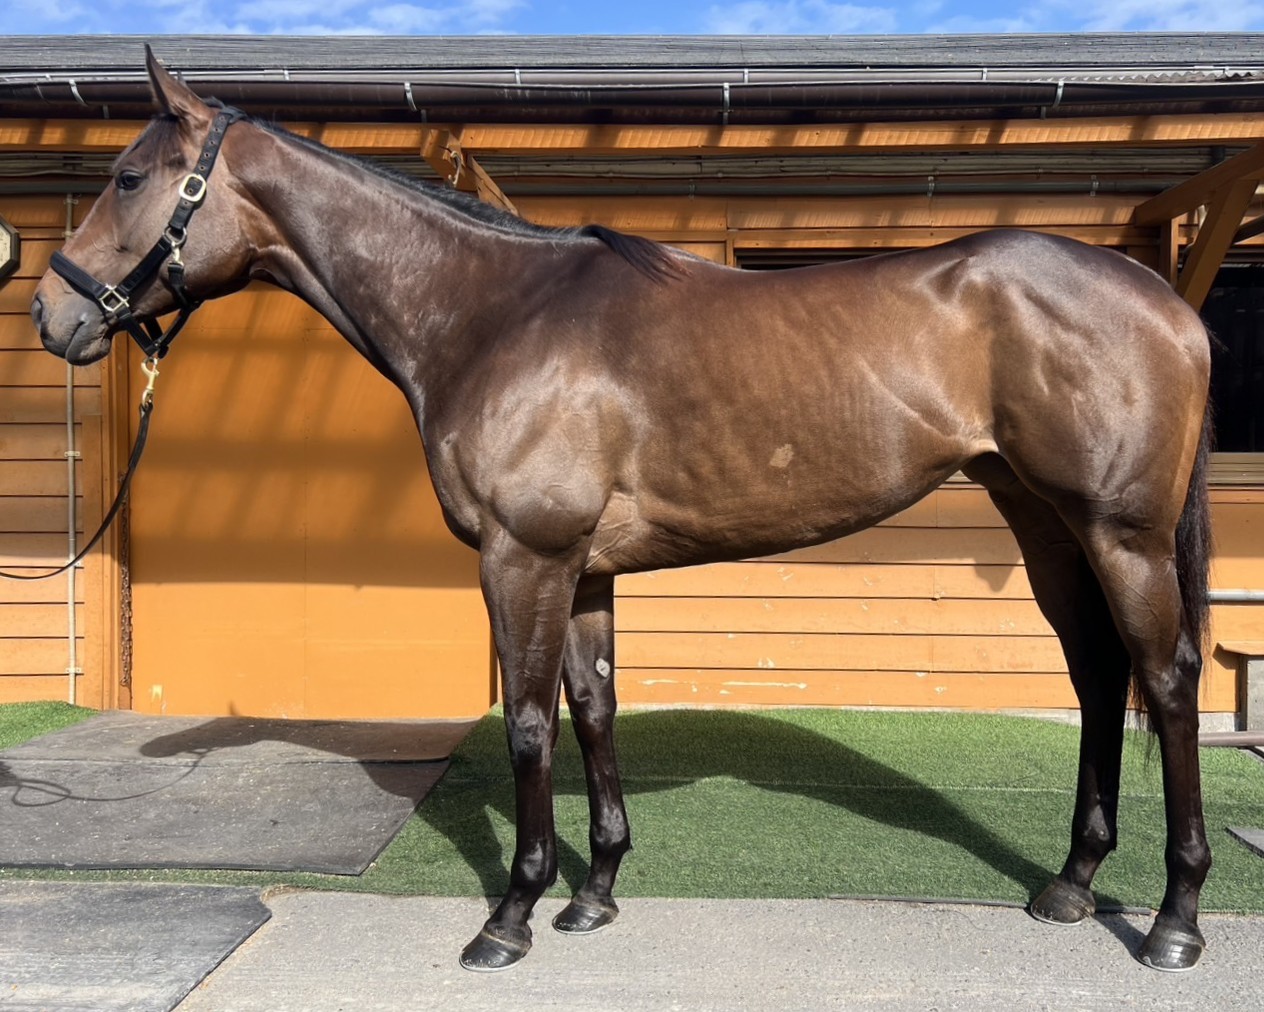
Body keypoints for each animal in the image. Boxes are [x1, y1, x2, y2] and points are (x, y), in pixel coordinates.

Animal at [32, 49, 1214, 973]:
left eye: (130, 176)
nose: (49, 313)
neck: (490, 315)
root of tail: (1166, 300)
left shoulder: (524, 557)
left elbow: (527, 723)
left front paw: (509, 916)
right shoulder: (585, 567)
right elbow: (594, 708)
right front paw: (593, 894)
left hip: (1120, 532)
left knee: (1163, 680)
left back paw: (1173, 919)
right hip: (1043, 521)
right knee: (1097, 675)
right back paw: (1071, 884)